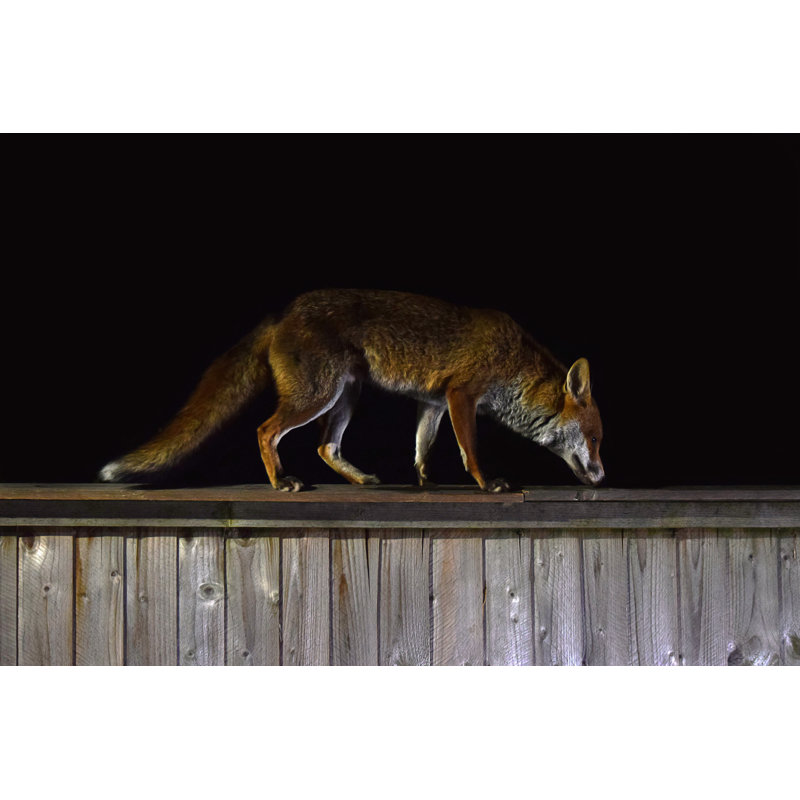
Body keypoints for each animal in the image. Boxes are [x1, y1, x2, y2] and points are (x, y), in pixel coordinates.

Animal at [99, 289, 604, 492]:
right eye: (596, 438)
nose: (601, 475)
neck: (512, 363)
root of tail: (283, 313)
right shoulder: (462, 394)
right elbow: (471, 451)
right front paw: (487, 484)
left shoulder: (433, 403)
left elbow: (422, 449)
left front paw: (426, 484)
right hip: (316, 397)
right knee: (265, 430)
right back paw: (281, 481)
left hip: (346, 397)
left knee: (326, 447)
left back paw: (360, 479)